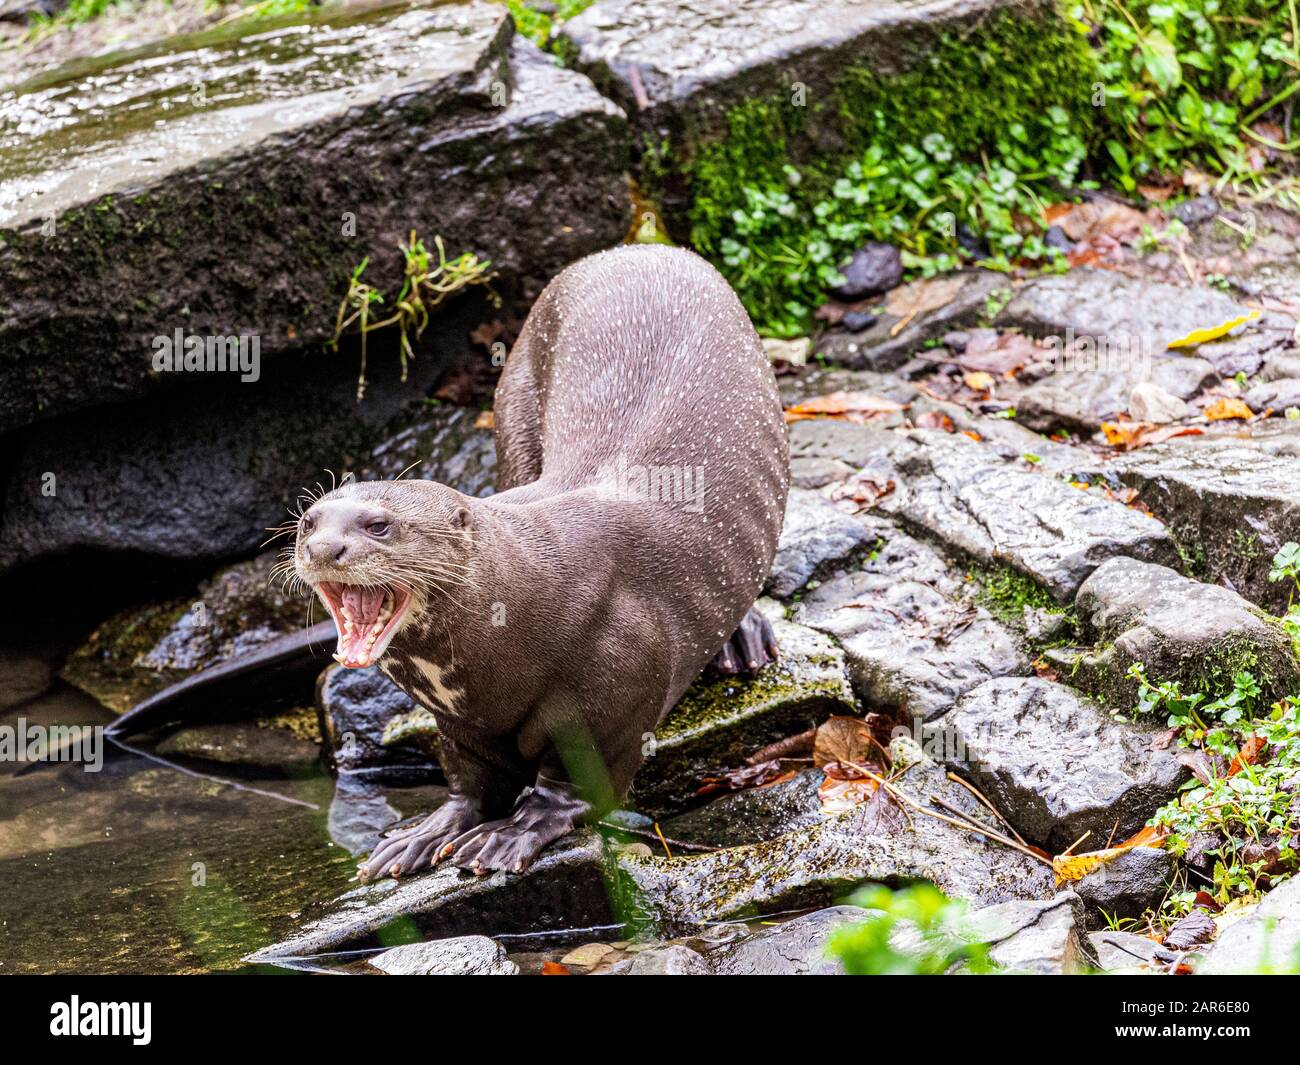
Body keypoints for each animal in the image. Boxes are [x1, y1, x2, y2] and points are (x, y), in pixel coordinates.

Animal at [292, 245, 790, 879]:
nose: (322, 548)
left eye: (378, 524)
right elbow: (472, 780)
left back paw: (742, 637)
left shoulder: (613, 700)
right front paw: (423, 834)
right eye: (308, 521)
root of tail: (643, 247)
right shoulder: (459, 720)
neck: (530, 600)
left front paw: (514, 833)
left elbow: (579, 784)